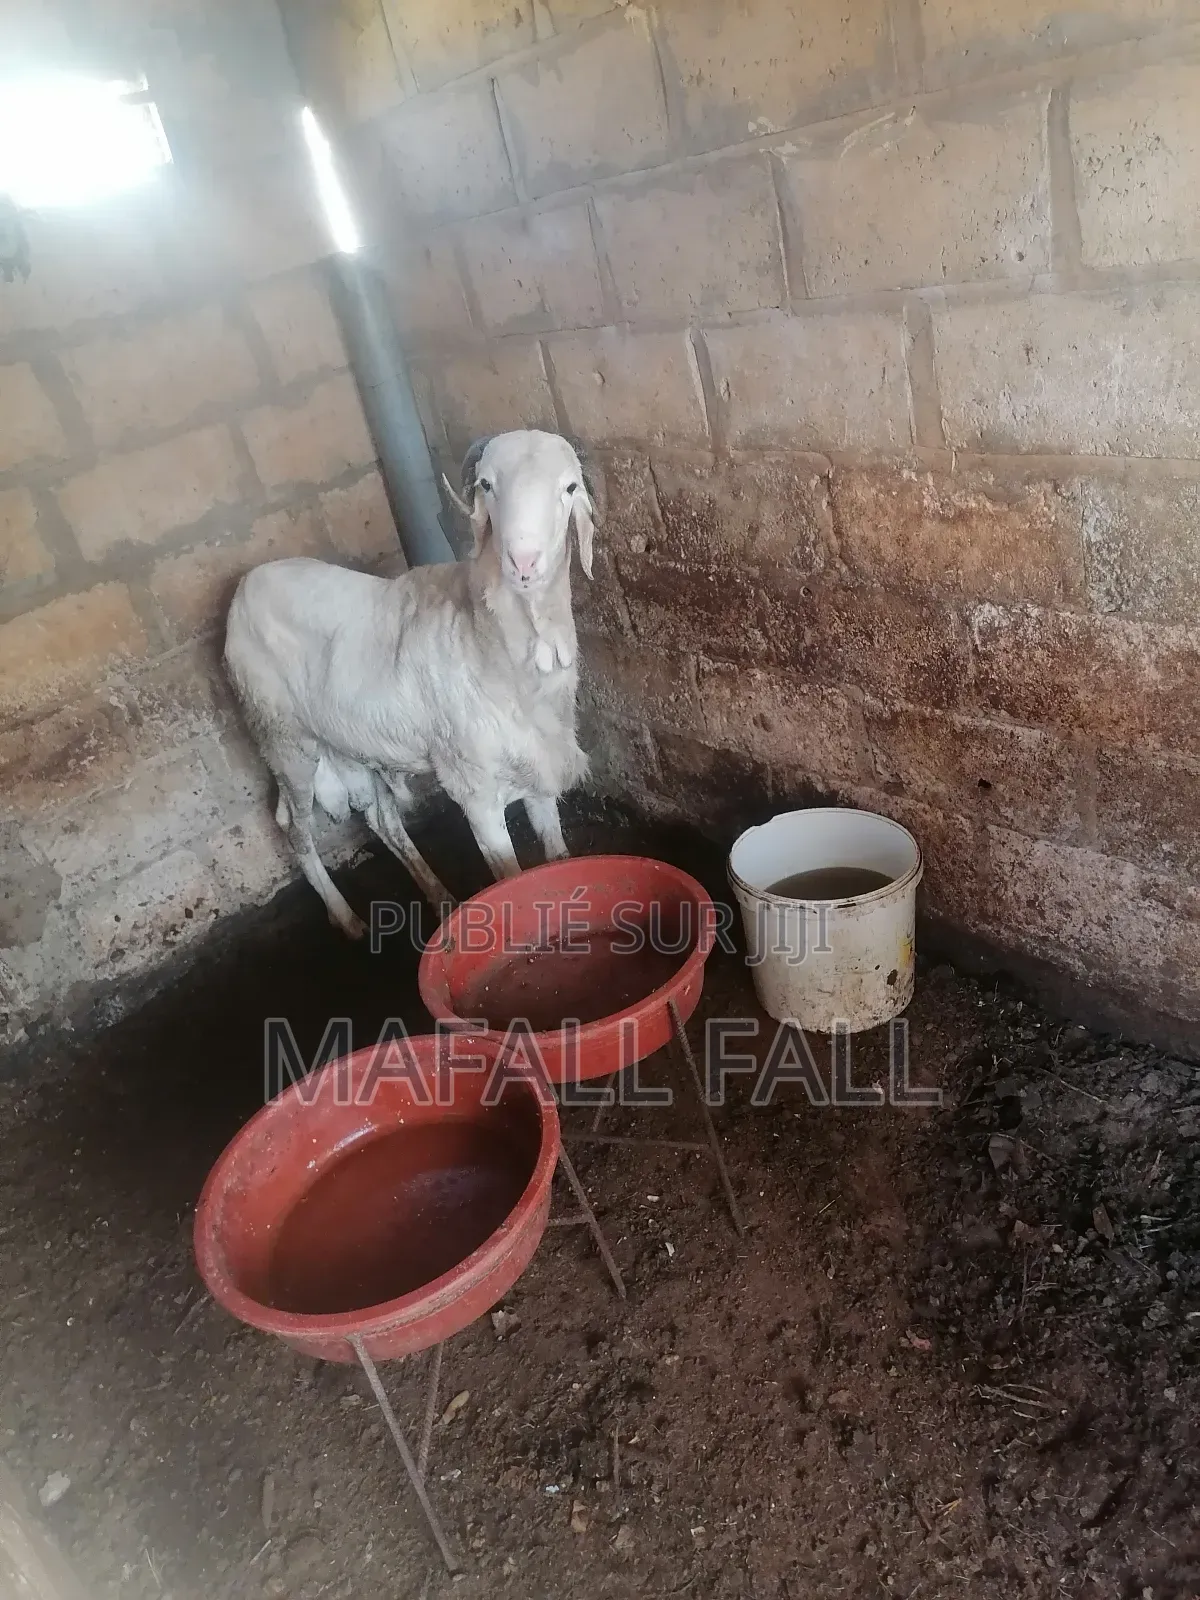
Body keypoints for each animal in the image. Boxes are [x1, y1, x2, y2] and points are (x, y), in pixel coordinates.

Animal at [222, 429, 600, 939]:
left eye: (568, 487)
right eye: (486, 484)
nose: (524, 561)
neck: (487, 640)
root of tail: (245, 584)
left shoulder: (538, 772)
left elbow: (557, 858)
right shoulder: (475, 792)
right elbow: (510, 876)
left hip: (351, 742)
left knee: (383, 820)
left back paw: (442, 901)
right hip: (282, 740)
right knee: (294, 830)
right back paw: (348, 920)